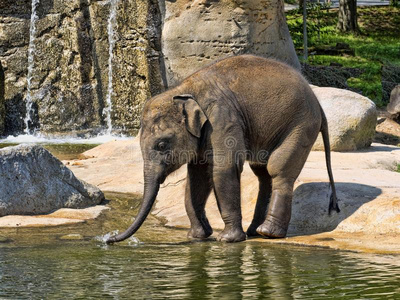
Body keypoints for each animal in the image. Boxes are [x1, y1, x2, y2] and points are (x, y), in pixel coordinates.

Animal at [108, 54, 340, 244]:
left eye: (162, 144)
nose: (109, 239)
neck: (183, 90)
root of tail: (318, 104)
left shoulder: (222, 119)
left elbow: (223, 169)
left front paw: (227, 240)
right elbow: (197, 177)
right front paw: (197, 236)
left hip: (300, 124)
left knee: (278, 168)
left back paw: (268, 233)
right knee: (262, 172)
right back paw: (255, 231)